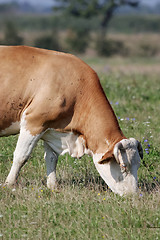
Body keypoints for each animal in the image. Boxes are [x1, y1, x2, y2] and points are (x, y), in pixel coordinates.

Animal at [0, 45, 142, 195]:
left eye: (138, 165)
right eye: (123, 166)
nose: (134, 194)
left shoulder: (50, 128)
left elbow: (51, 158)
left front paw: (53, 186)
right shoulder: (33, 122)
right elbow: (21, 156)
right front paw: (8, 184)